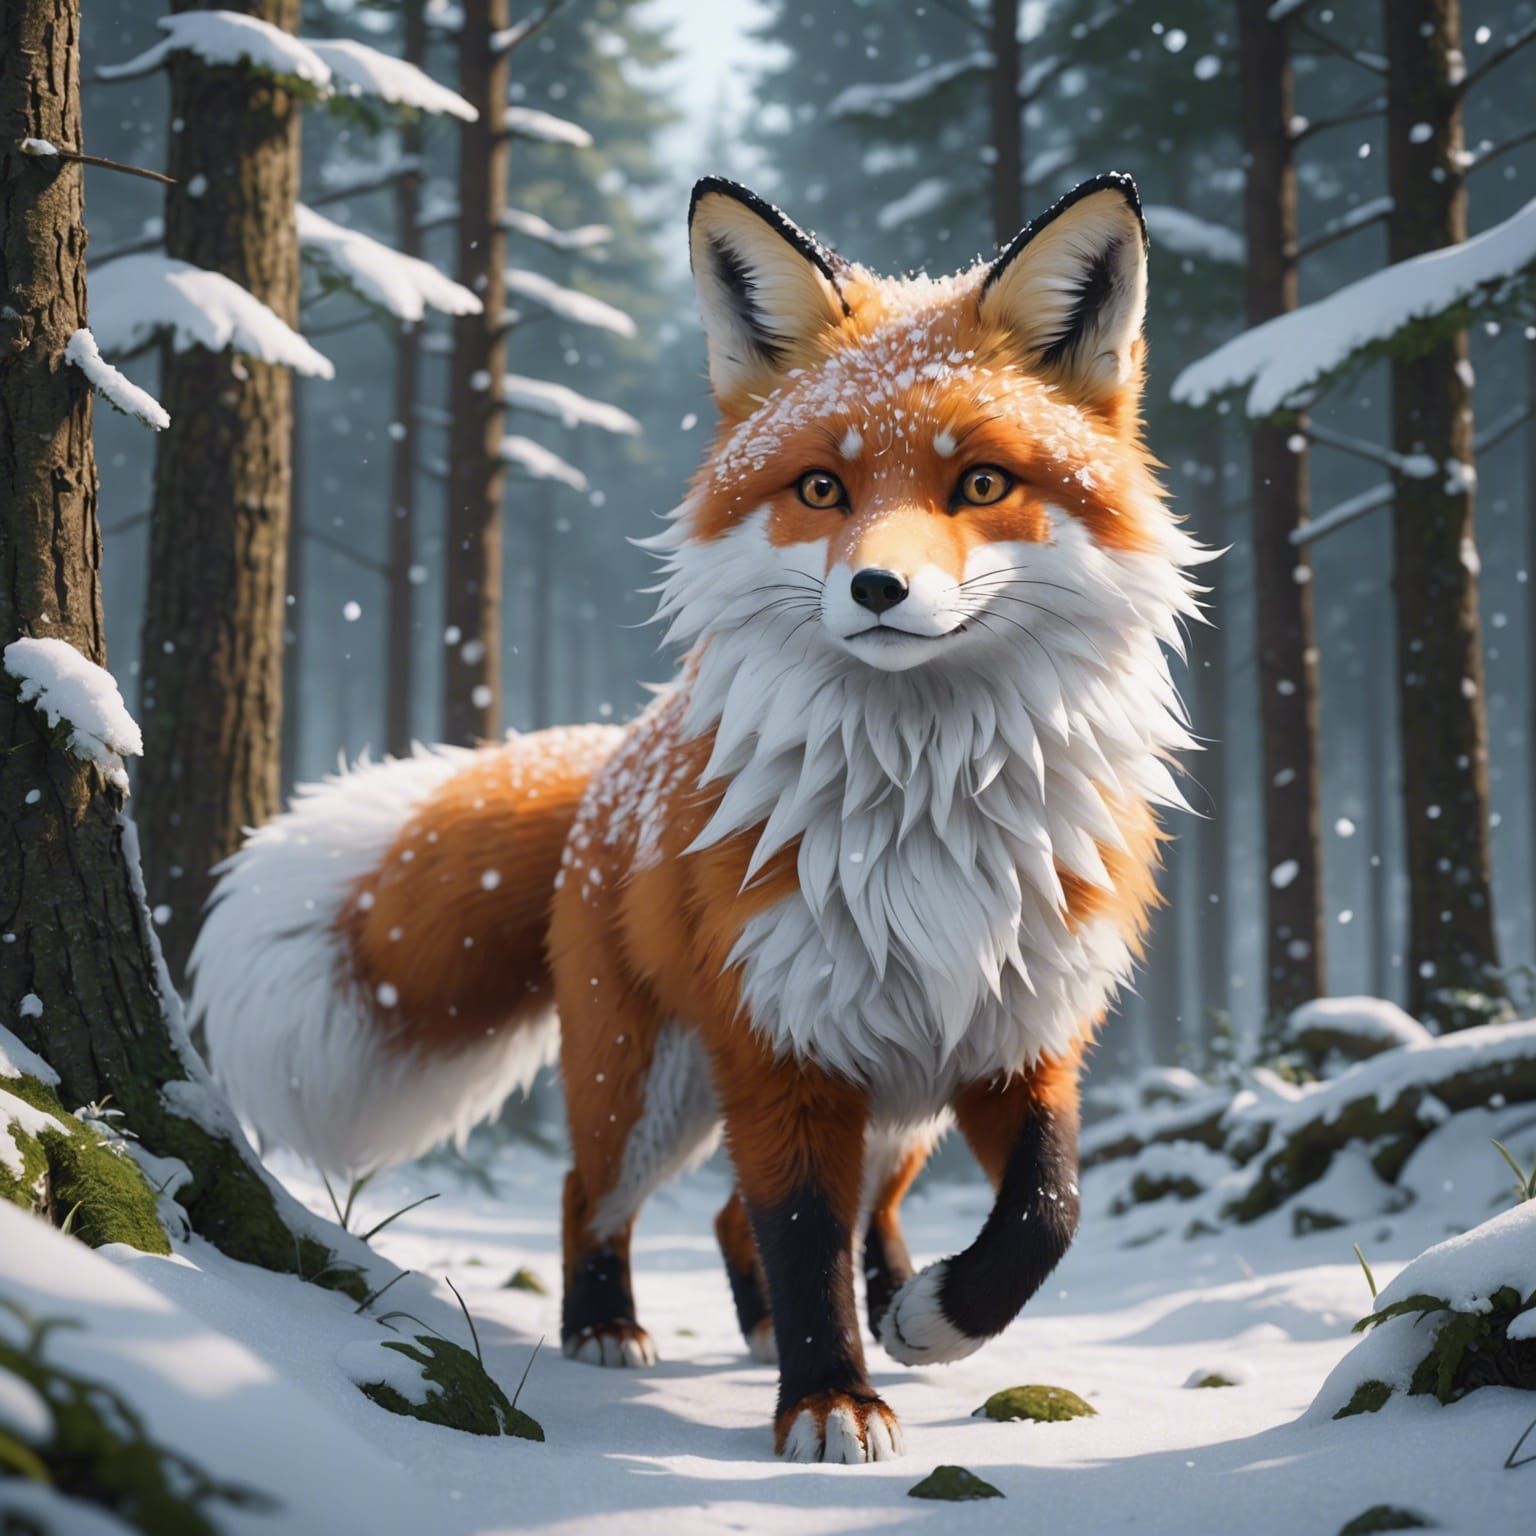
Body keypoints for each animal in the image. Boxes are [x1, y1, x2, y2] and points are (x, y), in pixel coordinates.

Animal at [191, 172, 1205, 1464]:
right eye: (822, 487)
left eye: (981, 482)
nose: (878, 589)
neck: (923, 817)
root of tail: (614, 760)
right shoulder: (779, 1043)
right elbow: (803, 1229)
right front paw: (830, 1399)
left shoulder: (1022, 1036)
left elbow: (1046, 1213)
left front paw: (928, 1324)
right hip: (650, 1087)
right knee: (602, 1195)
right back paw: (609, 1327)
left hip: (896, 1106)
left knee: (781, 1213)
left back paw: (856, 1306)